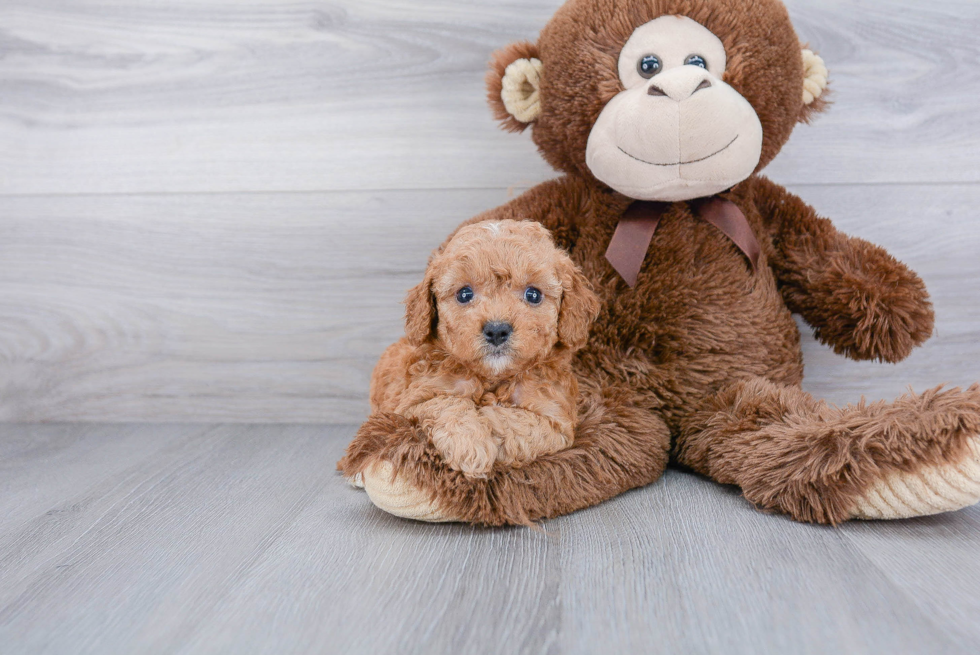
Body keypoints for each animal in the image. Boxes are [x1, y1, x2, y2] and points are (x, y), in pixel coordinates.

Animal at [370, 219, 600, 476]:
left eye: (533, 294)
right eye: (464, 294)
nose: (497, 330)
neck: (493, 377)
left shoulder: (557, 422)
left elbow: (518, 421)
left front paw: (486, 417)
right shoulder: (413, 402)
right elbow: (446, 403)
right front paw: (469, 444)